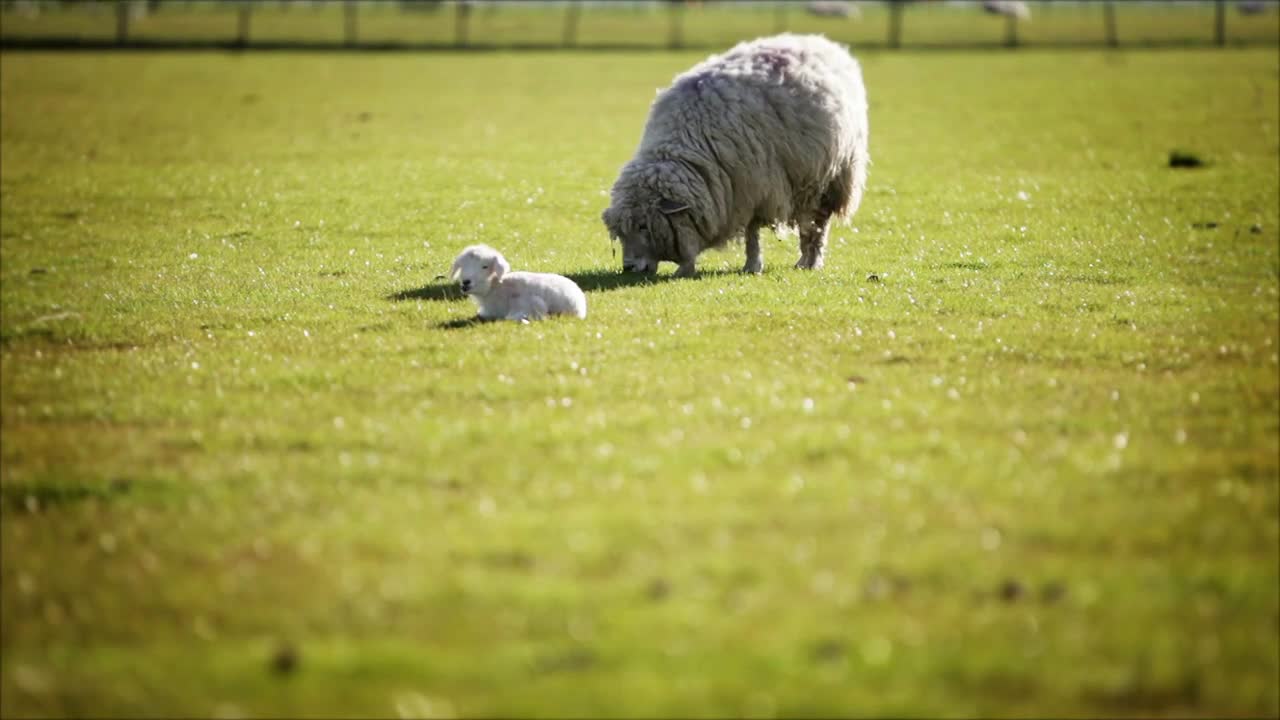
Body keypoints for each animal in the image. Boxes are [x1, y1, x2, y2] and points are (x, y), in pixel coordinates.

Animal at [601, 32, 870, 274]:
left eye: (644, 226)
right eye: (620, 233)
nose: (628, 268)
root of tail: (819, 42)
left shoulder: (755, 188)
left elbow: (751, 233)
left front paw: (752, 266)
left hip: (831, 178)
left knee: (817, 225)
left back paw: (810, 262)